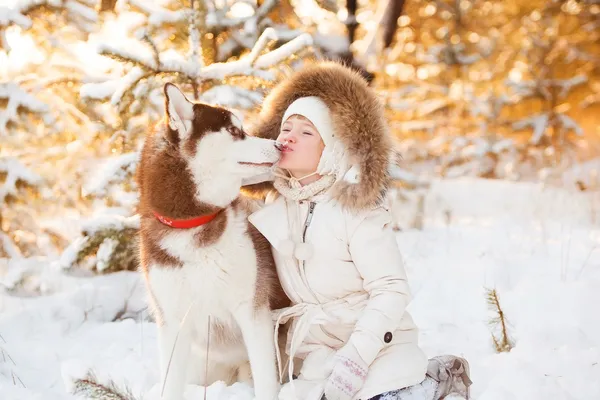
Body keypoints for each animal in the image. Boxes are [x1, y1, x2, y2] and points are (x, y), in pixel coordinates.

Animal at [138, 83, 288, 398]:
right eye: (233, 130)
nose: (280, 146)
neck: (195, 225)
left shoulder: (253, 311)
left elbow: (266, 382)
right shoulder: (173, 322)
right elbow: (170, 386)